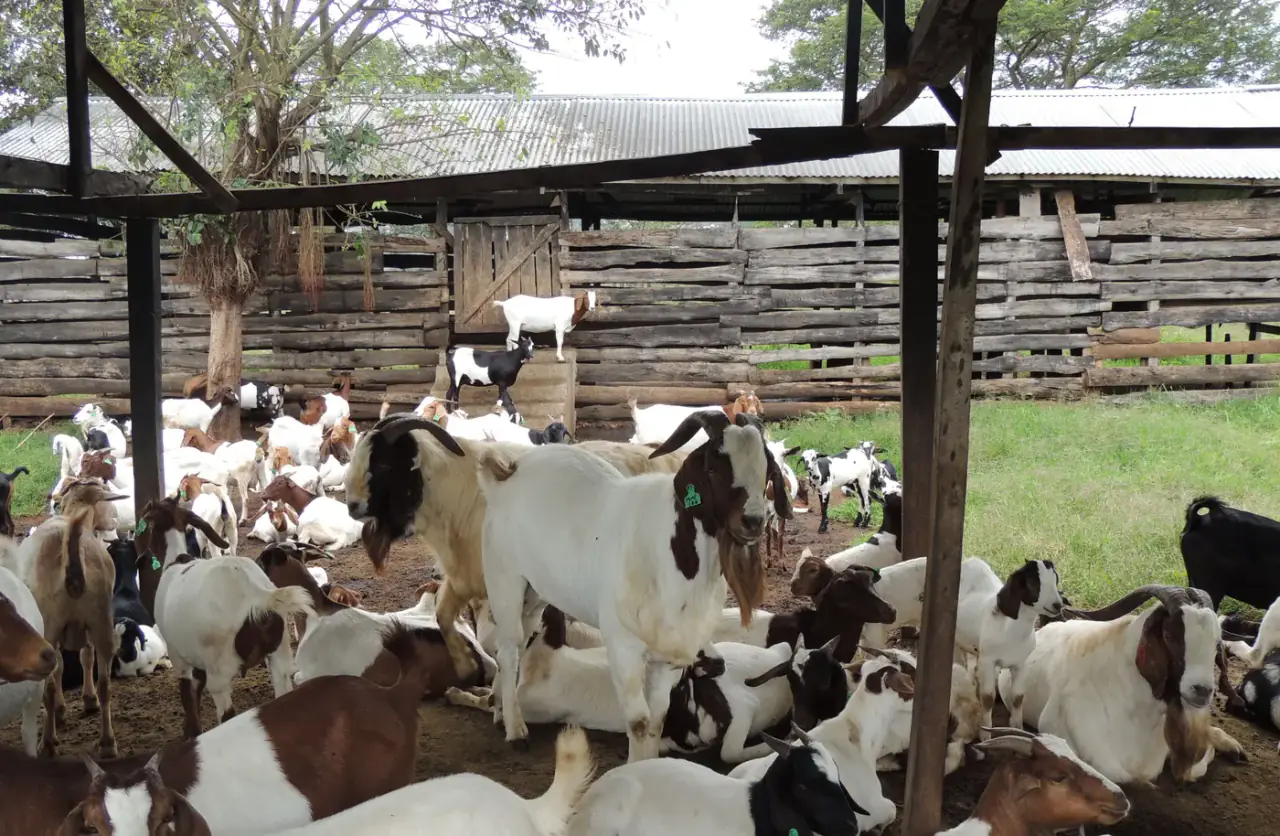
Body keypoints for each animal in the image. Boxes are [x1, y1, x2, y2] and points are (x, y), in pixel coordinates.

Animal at [155, 554, 314, 739]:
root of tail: (258, 596)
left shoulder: (177, 654)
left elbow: (187, 690)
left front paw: (192, 732)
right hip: (278, 650)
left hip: (219, 666)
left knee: (225, 711)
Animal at [475, 409, 790, 760]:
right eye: (713, 466)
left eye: (767, 469)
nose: (753, 521)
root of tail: (505, 478)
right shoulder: (622, 646)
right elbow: (639, 721)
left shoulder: (666, 656)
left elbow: (657, 719)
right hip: (505, 581)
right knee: (509, 649)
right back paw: (516, 730)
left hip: (536, 592)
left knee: (519, 642)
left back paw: (500, 711)